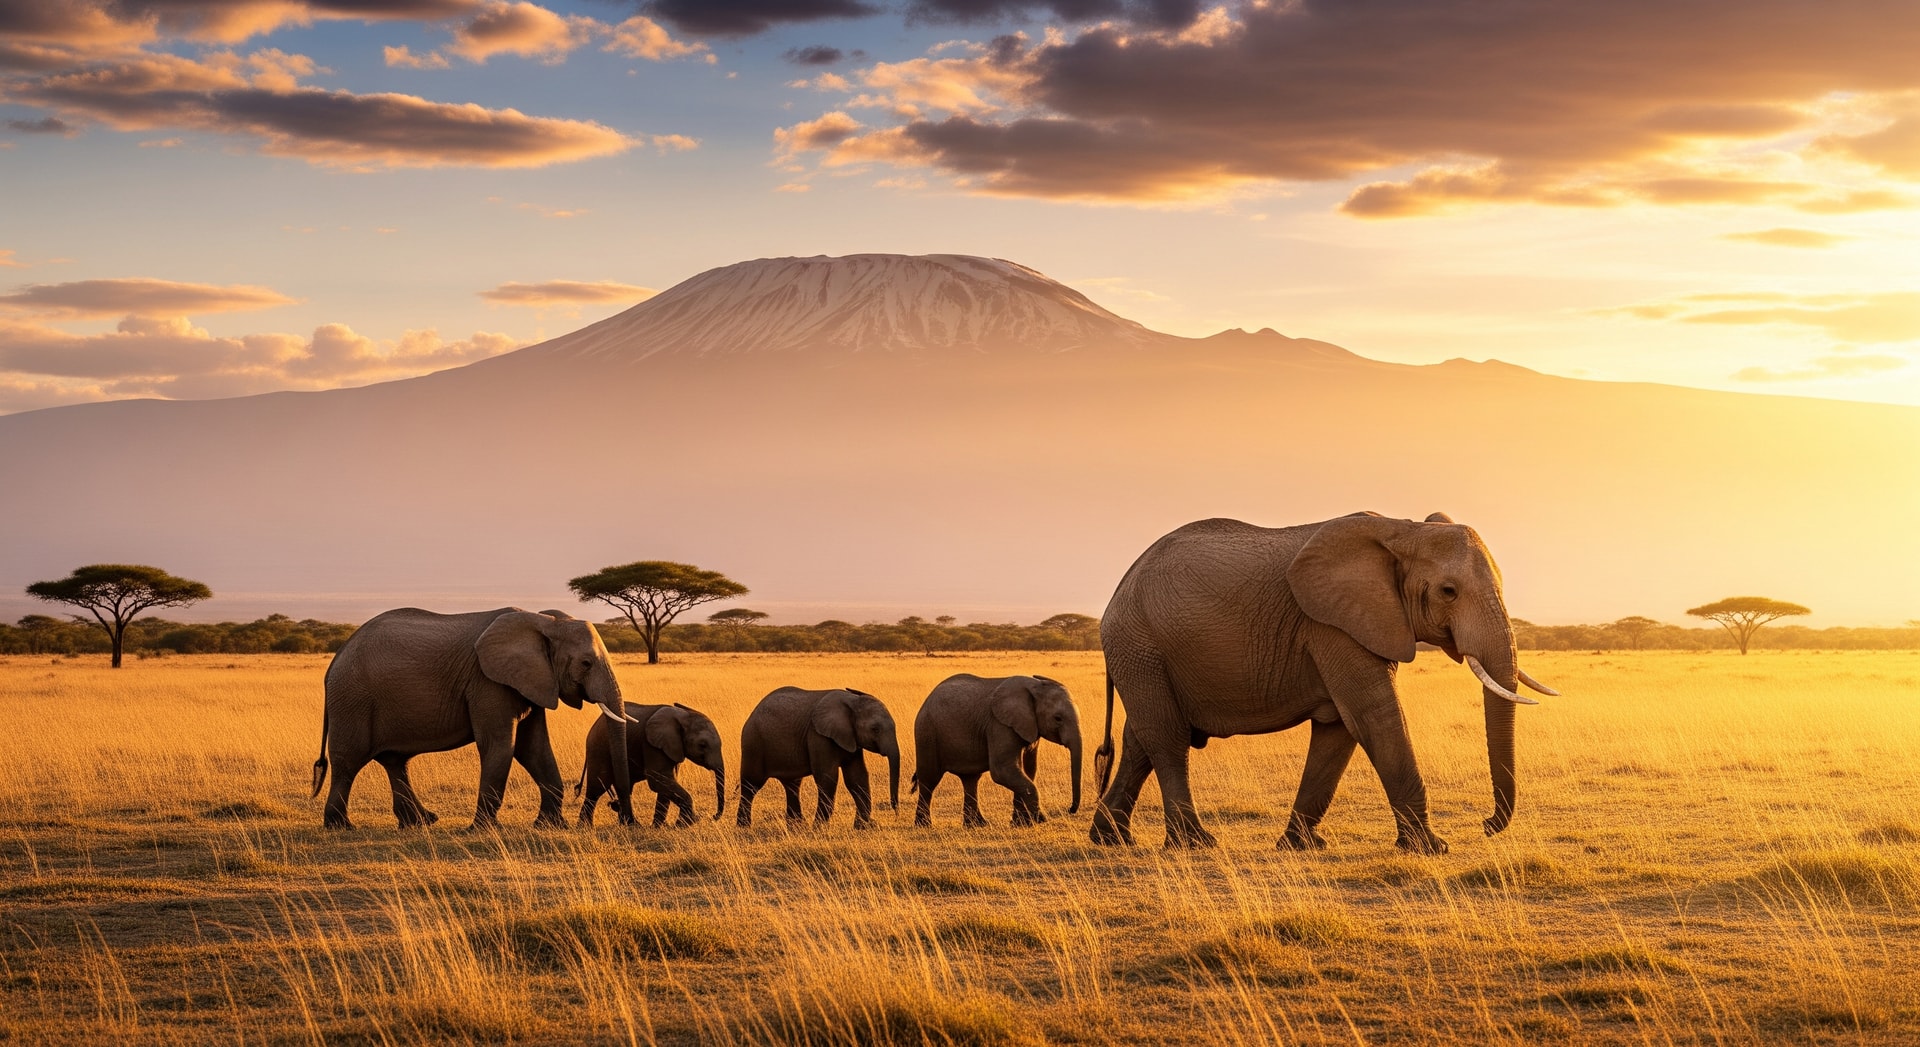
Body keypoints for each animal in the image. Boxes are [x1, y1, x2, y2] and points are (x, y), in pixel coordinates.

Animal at [311, 607, 638, 830]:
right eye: (586, 663)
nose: (622, 814)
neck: (543, 621)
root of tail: (335, 660)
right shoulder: (487, 682)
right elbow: (501, 745)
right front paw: (483, 829)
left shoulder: (531, 681)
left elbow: (533, 748)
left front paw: (550, 826)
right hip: (353, 700)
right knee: (348, 763)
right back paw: (342, 826)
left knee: (395, 761)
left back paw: (420, 822)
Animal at [577, 702, 726, 828]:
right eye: (702, 745)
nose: (713, 816)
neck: (682, 716)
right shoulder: (651, 744)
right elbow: (658, 779)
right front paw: (685, 824)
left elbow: (666, 783)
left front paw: (658, 827)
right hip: (598, 747)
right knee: (597, 787)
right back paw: (586, 827)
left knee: (623, 787)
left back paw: (629, 824)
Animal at [737, 687, 900, 828]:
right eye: (875, 729)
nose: (896, 813)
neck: (852, 701)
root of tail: (753, 712)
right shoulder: (818, 736)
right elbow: (828, 777)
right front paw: (818, 828)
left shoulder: (852, 739)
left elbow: (857, 777)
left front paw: (862, 827)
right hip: (753, 743)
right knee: (751, 784)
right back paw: (743, 827)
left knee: (792, 785)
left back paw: (797, 827)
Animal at [910, 674, 1083, 828]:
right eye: (1058, 718)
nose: (1070, 809)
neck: (1035, 686)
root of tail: (927, 699)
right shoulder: (999, 725)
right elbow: (1002, 771)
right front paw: (1039, 819)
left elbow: (1028, 769)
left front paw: (1020, 824)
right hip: (927, 732)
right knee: (929, 779)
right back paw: (924, 825)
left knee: (970, 779)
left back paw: (977, 825)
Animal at [1090, 512, 1557, 853]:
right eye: (1448, 591)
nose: (1485, 825)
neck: (1402, 530)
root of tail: (1119, 589)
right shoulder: (1332, 626)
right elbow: (1375, 717)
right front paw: (1431, 848)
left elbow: (1338, 732)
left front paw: (1302, 846)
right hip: (1139, 645)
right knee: (1167, 738)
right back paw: (1194, 844)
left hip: (1143, 654)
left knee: (1140, 741)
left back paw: (1111, 840)